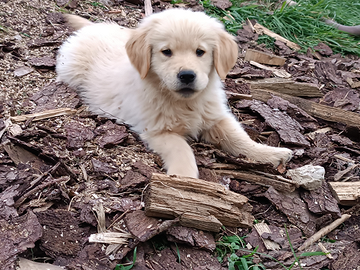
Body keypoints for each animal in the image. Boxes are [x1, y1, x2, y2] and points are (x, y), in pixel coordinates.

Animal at [56, 8, 292, 178]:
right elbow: (181, 148)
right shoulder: (158, 131)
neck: (184, 102)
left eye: (200, 52)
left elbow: (240, 138)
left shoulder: (216, 117)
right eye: (166, 52)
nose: (187, 75)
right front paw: (184, 178)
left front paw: (270, 153)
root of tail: (94, 27)